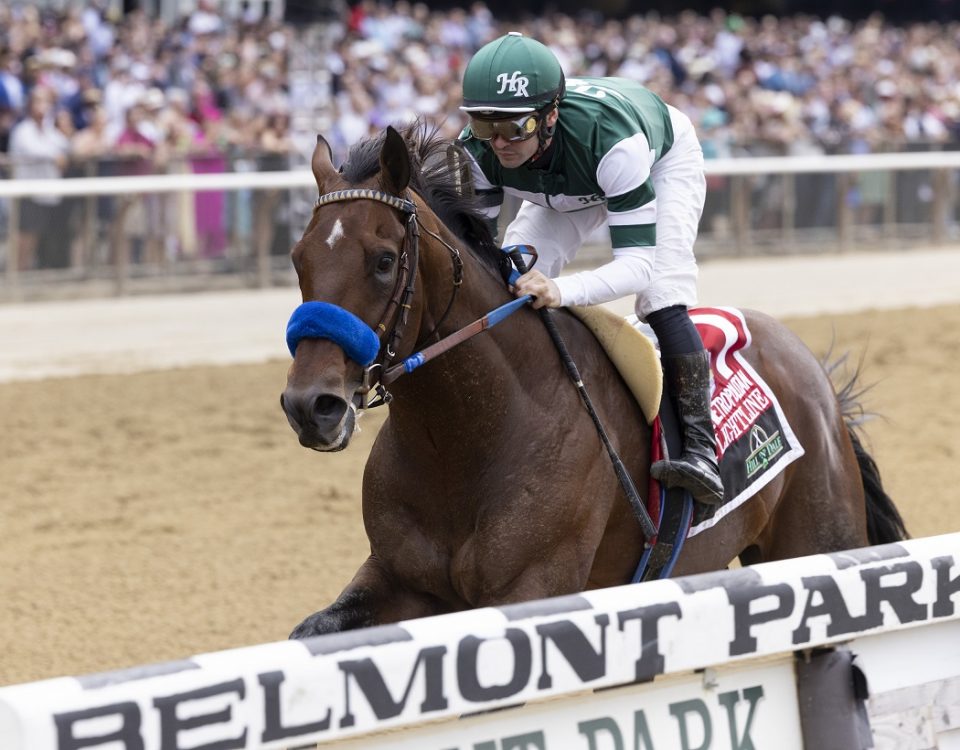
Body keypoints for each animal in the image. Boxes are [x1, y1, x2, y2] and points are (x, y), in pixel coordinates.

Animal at [280, 123, 908, 640]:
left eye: (384, 260)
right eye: (298, 259)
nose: (311, 406)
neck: (462, 438)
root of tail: (811, 371)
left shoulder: (532, 586)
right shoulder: (397, 577)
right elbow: (309, 634)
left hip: (820, 539)